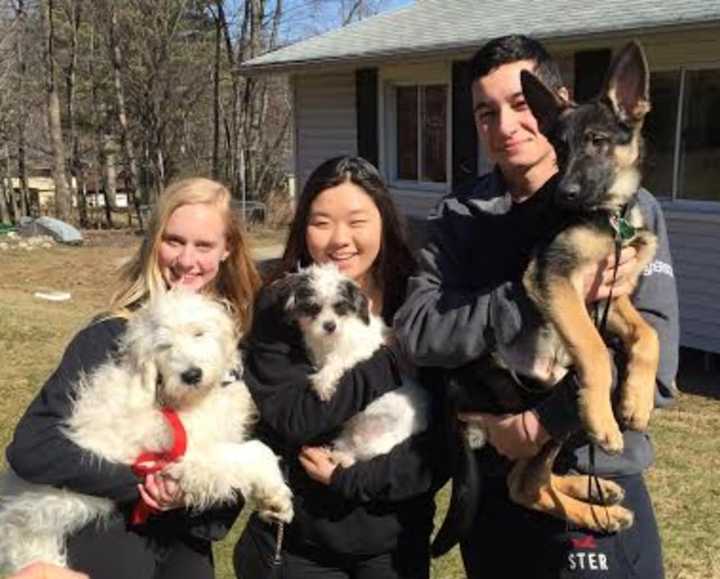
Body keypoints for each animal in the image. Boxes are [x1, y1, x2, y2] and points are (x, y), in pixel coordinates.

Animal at [0, 292, 292, 572]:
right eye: (164, 346)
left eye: (198, 333)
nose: (191, 375)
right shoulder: (187, 456)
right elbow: (256, 452)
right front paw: (277, 496)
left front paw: (274, 500)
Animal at [282, 266, 428, 468]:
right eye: (314, 307)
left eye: (340, 306)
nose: (330, 326)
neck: (333, 339)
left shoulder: (362, 348)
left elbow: (336, 360)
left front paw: (323, 382)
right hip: (347, 437)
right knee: (350, 453)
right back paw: (340, 456)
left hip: (381, 444)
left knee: (362, 456)